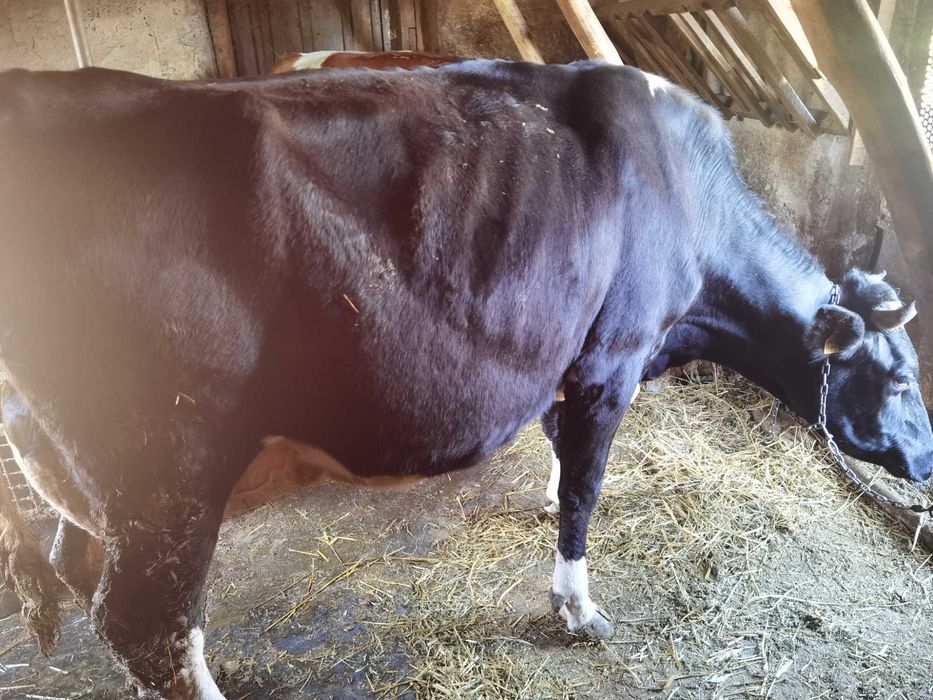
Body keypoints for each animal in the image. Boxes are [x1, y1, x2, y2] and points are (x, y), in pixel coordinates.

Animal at [0, 59, 929, 699]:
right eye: (896, 379)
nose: (923, 465)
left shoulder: (565, 356)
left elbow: (561, 456)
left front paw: (547, 504)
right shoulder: (611, 360)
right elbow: (587, 489)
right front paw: (575, 607)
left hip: (79, 473)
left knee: (81, 572)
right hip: (166, 465)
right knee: (148, 623)